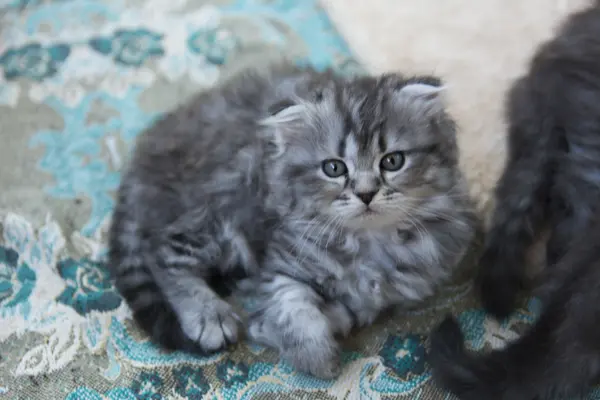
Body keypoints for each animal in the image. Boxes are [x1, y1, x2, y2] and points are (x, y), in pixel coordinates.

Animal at [106, 63, 474, 378]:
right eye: (334, 167)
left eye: (392, 161)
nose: (366, 193)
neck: (369, 243)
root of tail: (143, 161)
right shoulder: (282, 260)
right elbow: (294, 308)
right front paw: (315, 357)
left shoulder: (387, 294)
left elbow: (345, 311)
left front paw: (274, 328)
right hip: (220, 203)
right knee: (163, 250)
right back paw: (210, 315)